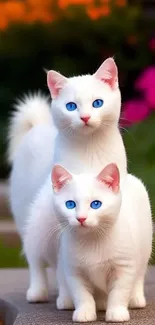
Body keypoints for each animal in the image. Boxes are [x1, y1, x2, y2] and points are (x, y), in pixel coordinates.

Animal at [23, 162, 152, 322]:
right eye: (70, 204)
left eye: (96, 204)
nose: (81, 218)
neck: (92, 241)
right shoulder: (74, 269)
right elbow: (82, 294)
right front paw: (84, 312)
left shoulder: (124, 265)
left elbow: (119, 291)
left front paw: (116, 312)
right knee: (38, 263)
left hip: (146, 246)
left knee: (140, 273)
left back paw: (134, 298)